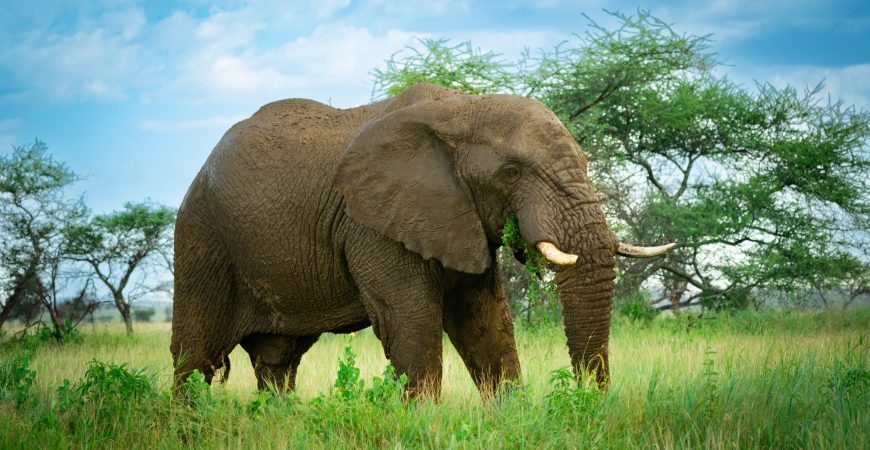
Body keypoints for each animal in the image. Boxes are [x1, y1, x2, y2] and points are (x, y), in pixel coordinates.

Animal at [170, 83, 673, 398]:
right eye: (511, 172)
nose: (589, 400)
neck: (462, 108)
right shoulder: (372, 223)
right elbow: (409, 321)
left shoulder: (457, 219)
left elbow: (485, 321)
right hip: (202, 238)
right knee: (194, 358)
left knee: (277, 361)